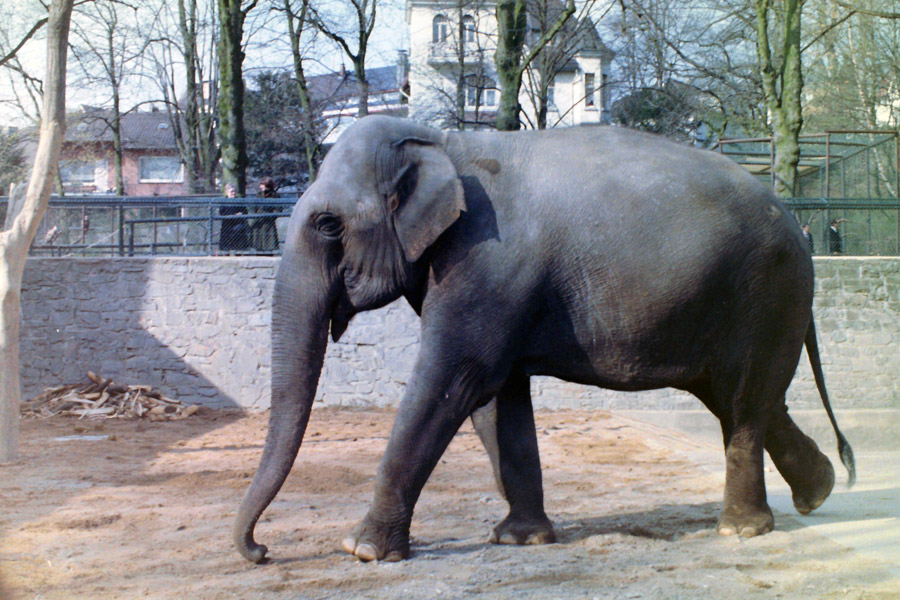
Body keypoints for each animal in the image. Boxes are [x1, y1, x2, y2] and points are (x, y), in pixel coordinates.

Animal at [230, 113, 852, 564]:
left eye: (328, 224)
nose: (261, 551)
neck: (442, 140)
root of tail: (797, 223)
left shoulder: (486, 260)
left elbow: (455, 377)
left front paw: (361, 551)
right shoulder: (490, 279)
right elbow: (497, 398)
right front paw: (520, 539)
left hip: (765, 291)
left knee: (744, 401)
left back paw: (741, 531)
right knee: (743, 399)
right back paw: (818, 492)